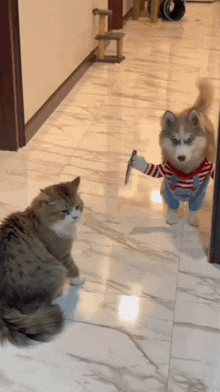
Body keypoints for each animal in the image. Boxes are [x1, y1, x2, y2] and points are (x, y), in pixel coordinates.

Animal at [0, 176, 83, 344]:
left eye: (77, 206)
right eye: (65, 211)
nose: (75, 217)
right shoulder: (62, 254)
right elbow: (73, 268)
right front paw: (79, 280)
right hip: (57, 269)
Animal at [130, 79, 216, 227]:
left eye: (189, 140)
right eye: (174, 140)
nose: (181, 157)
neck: (185, 170)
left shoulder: (201, 187)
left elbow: (195, 205)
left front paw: (192, 219)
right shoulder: (169, 180)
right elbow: (172, 202)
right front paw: (172, 216)